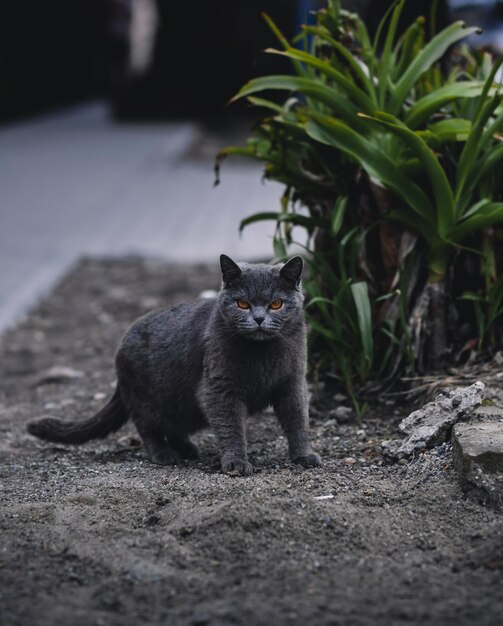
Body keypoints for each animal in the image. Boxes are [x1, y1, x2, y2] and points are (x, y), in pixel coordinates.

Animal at [28, 254, 322, 472]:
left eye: (276, 304)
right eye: (241, 303)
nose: (259, 319)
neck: (263, 353)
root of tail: (120, 351)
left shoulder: (293, 381)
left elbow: (298, 419)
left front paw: (304, 456)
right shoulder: (218, 388)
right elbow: (230, 427)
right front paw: (236, 463)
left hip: (180, 402)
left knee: (175, 425)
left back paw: (188, 449)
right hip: (148, 399)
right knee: (147, 427)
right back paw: (164, 454)